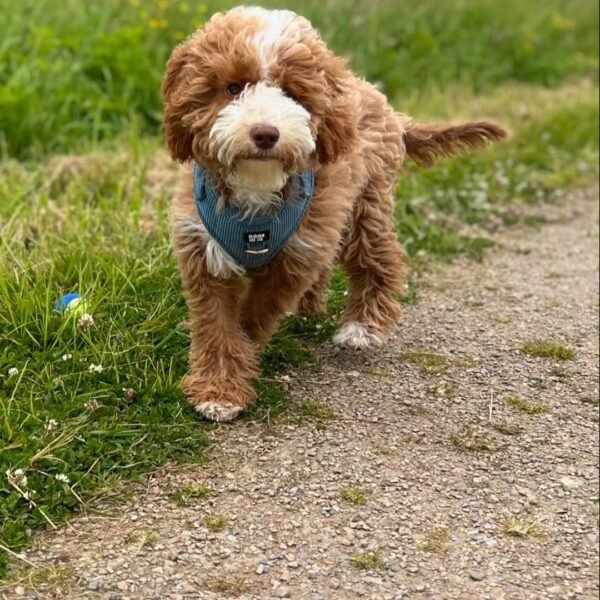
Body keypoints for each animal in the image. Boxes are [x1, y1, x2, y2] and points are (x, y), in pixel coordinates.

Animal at [161, 8, 506, 422]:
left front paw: (241, 357)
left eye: (292, 92)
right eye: (232, 88)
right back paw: (310, 309)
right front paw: (218, 390)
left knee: (381, 259)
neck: (256, 192)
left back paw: (362, 326)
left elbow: (254, 315)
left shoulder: (294, 257)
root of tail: (380, 99)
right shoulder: (204, 249)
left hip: (365, 205)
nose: (265, 133)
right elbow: (216, 324)